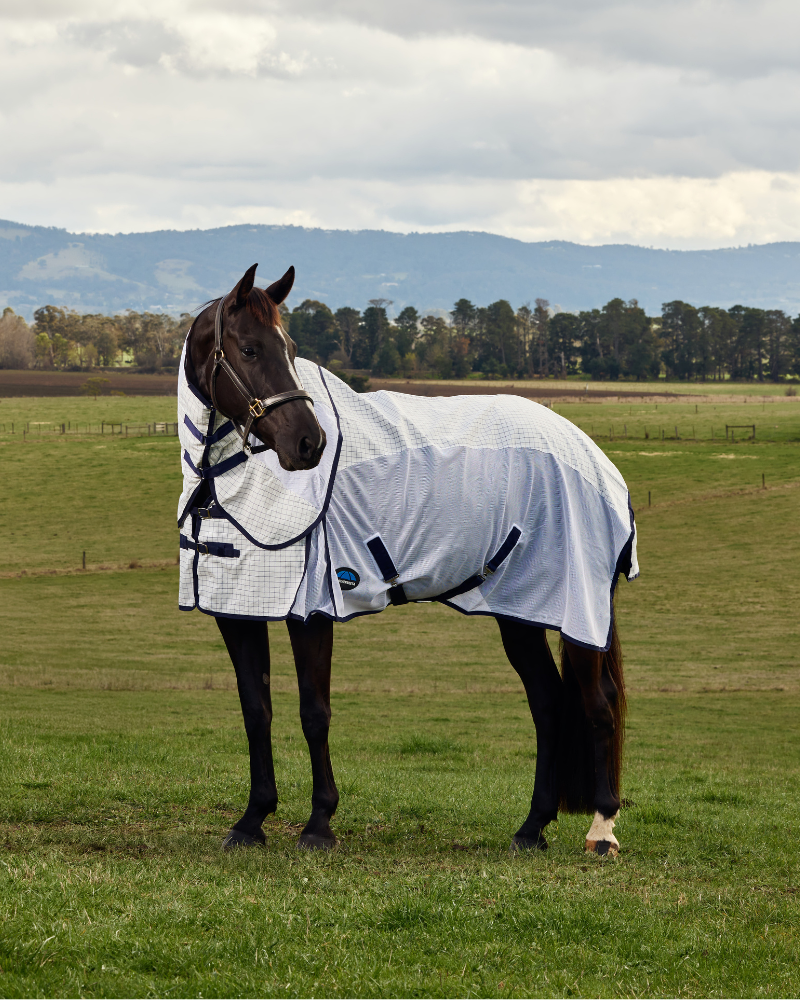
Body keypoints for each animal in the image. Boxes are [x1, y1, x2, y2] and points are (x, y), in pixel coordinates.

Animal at [180, 263, 635, 857]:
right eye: (250, 349)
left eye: (291, 348)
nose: (309, 443)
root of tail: (594, 457)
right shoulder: (238, 609)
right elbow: (257, 711)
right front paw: (252, 820)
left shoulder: (311, 612)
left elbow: (314, 713)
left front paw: (318, 824)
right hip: (521, 612)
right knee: (550, 703)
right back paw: (531, 827)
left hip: (579, 610)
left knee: (597, 703)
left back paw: (602, 828)